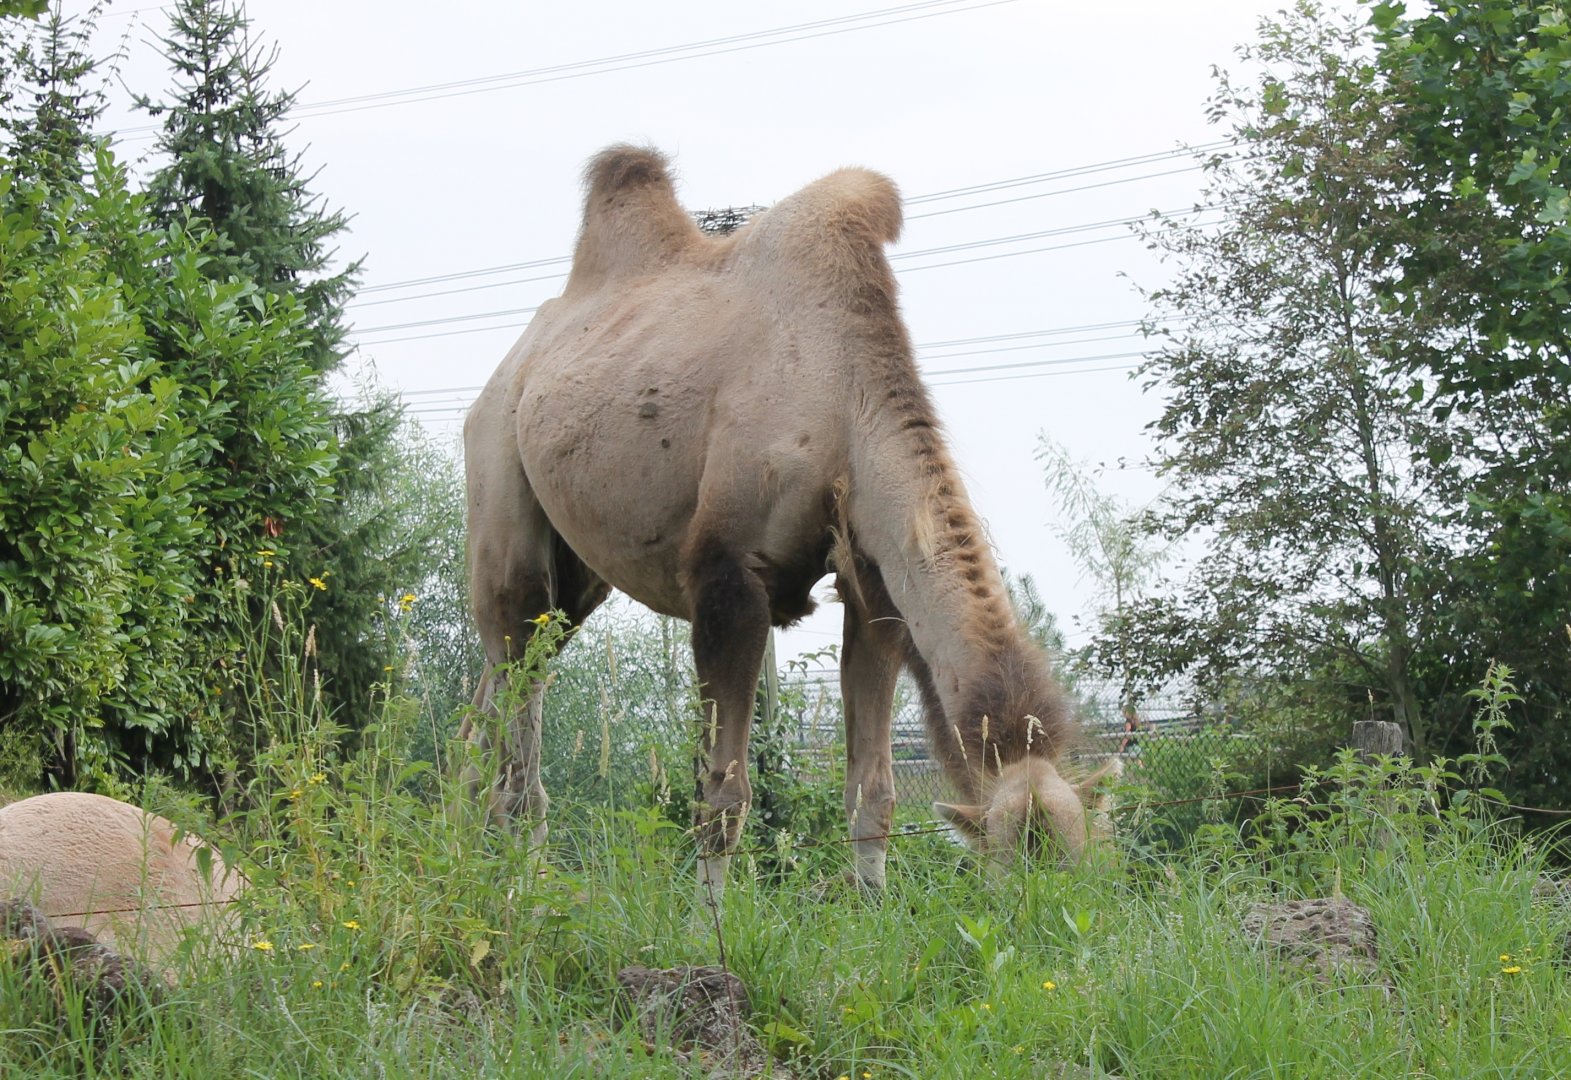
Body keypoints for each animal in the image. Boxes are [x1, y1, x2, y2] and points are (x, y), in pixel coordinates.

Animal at [460, 145, 1117, 890]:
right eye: (1011, 872)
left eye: (1086, 866)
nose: (1056, 914)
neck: (844, 403)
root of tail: (513, 367)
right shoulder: (728, 579)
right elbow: (722, 797)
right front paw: (707, 920)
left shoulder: (871, 590)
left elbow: (872, 793)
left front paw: (870, 904)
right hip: (498, 475)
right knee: (515, 671)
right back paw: (524, 883)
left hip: (575, 581)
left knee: (495, 692)